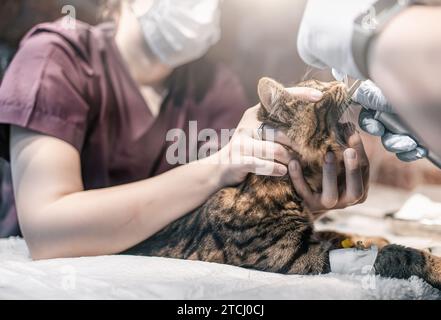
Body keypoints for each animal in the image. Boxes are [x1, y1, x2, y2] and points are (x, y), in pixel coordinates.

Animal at [123, 78, 440, 290]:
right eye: (319, 90)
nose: (343, 80)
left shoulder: (314, 238)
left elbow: (344, 235)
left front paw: (372, 237)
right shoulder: (297, 256)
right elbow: (398, 255)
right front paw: (433, 264)